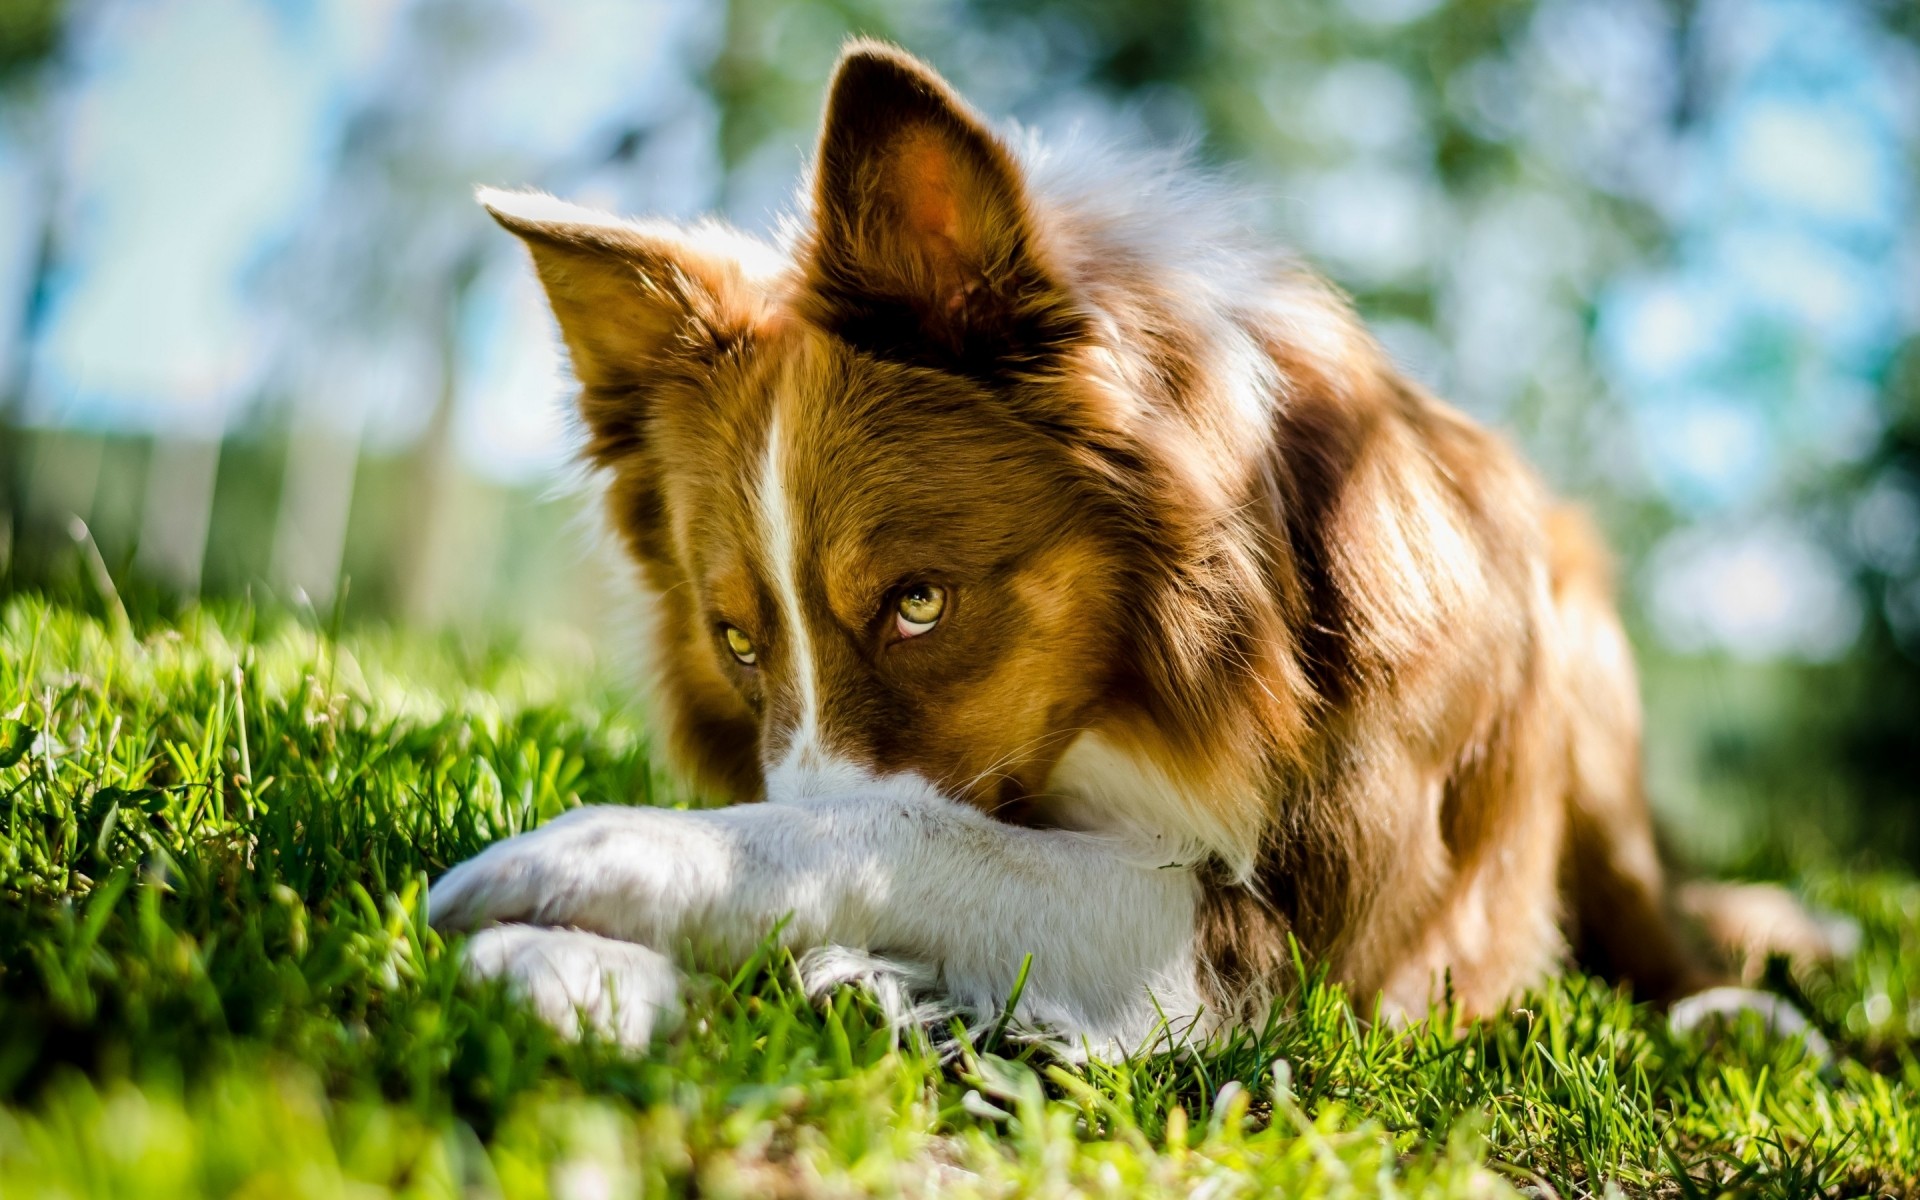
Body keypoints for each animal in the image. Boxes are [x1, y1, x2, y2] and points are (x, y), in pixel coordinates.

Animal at [428, 39, 1835, 1044]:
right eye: (736, 640)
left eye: (919, 603)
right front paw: (574, 964)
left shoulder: (1296, 939)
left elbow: (906, 834)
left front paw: (603, 854)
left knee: (1653, 929)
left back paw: (1740, 1015)